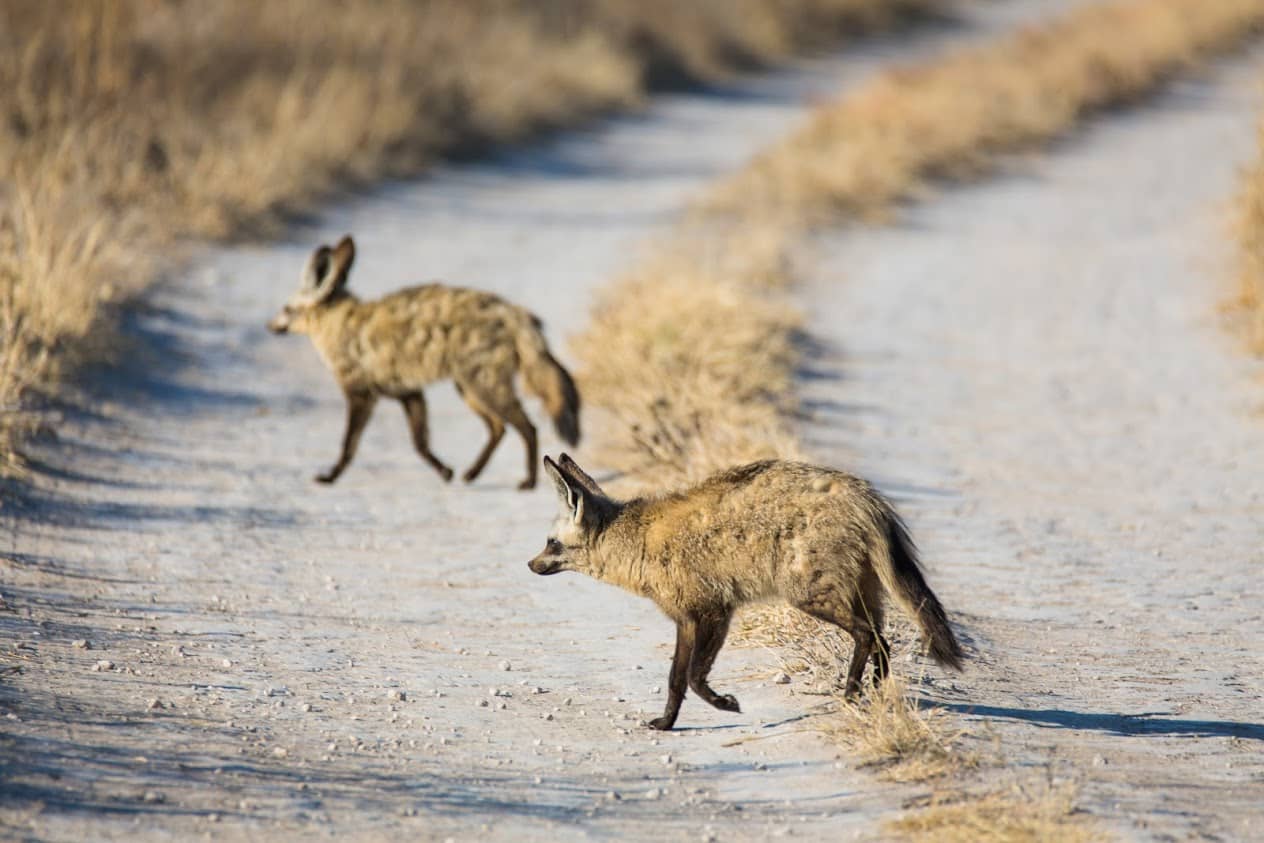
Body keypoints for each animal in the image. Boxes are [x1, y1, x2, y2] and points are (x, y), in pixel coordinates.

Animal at [267, 235, 580, 488]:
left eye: (285, 308)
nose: (270, 326)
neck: (338, 324)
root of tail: (514, 313)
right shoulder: (408, 392)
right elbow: (420, 443)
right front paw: (445, 472)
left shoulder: (362, 394)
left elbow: (349, 445)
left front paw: (329, 477)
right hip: (468, 387)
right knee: (498, 428)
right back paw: (471, 474)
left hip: (481, 385)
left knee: (527, 427)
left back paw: (528, 481)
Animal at [528, 454, 964, 730]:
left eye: (551, 543)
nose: (530, 565)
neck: (637, 542)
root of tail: (865, 495)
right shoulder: (699, 616)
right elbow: (681, 679)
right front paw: (671, 721)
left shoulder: (709, 613)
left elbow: (690, 678)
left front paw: (717, 706)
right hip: (859, 593)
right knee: (882, 640)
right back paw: (877, 692)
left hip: (809, 596)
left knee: (867, 635)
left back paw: (852, 693)